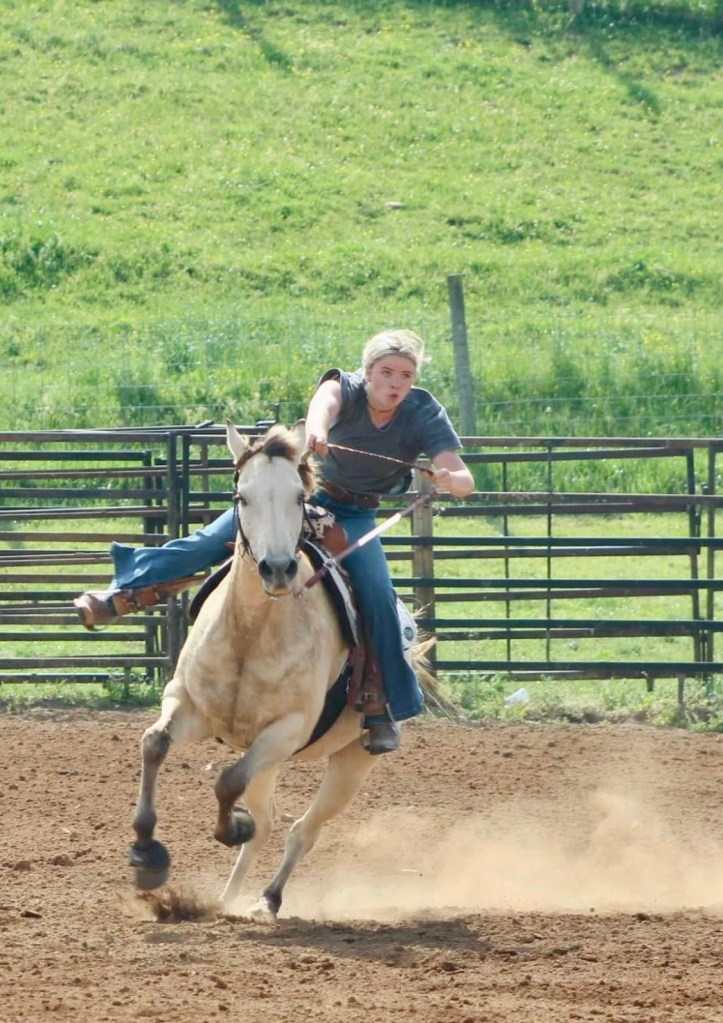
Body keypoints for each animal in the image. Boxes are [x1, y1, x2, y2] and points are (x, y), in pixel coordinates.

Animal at [129, 421, 409, 923]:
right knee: (268, 821)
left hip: (349, 763)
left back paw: (267, 899)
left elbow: (227, 782)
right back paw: (225, 901)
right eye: (242, 496)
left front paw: (230, 827)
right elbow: (154, 744)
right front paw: (147, 857)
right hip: (269, 759)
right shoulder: (189, 704)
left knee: (300, 830)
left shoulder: (285, 731)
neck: (250, 632)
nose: (277, 569)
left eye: (299, 496)